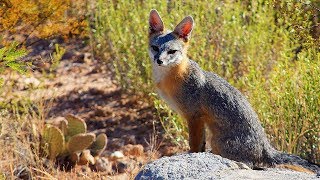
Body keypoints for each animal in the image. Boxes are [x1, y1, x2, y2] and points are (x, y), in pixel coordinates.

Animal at [149, 8, 318, 173]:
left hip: (217, 141)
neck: (173, 77)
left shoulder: (194, 116)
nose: (159, 61)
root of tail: (265, 146)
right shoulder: (196, 118)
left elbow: (195, 144)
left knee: (250, 164)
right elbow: (201, 145)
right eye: (155, 48)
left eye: (172, 51)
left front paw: (191, 156)